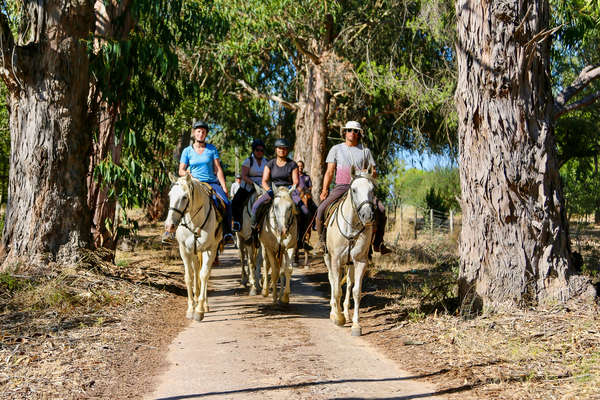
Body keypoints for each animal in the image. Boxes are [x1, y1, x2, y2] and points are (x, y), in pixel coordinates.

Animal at [163, 176, 221, 322]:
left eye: (185, 197)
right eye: (169, 195)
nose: (169, 226)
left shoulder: (210, 249)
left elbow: (204, 275)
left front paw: (199, 310)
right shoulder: (184, 250)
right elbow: (189, 277)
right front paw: (190, 309)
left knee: (204, 273)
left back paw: (204, 304)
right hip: (195, 252)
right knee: (196, 271)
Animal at [324, 170, 376, 336]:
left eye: (372, 190)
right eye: (354, 190)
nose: (367, 215)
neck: (351, 227)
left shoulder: (360, 261)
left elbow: (356, 291)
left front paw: (356, 325)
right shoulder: (335, 260)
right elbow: (336, 289)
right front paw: (338, 318)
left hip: (349, 263)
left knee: (347, 283)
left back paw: (345, 313)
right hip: (329, 258)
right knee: (332, 281)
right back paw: (334, 312)